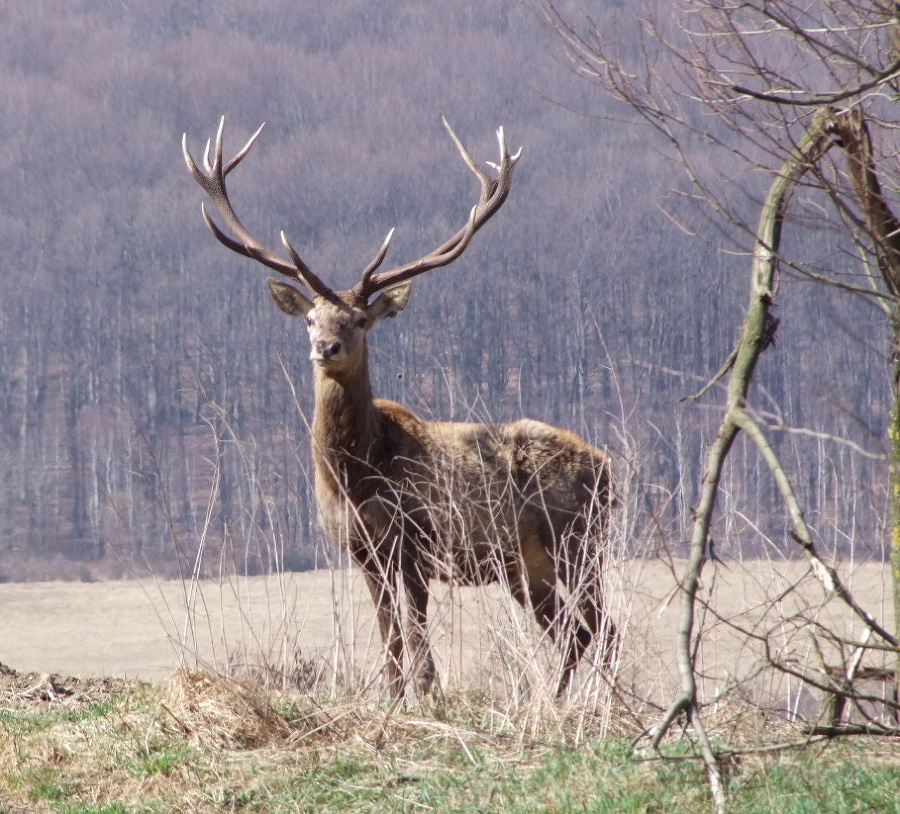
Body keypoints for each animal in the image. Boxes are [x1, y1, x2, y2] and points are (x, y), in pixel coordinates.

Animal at [183, 118, 620, 700]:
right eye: (310, 319)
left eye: (360, 321)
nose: (326, 347)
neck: (356, 477)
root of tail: (610, 469)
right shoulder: (364, 554)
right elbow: (389, 637)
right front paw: (392, 700)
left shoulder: (415, 545)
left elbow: (415, 637)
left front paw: (429, 696)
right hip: (527, 565)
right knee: (575, 629)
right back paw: (558, 700)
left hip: (578, 541)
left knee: (603, 627)